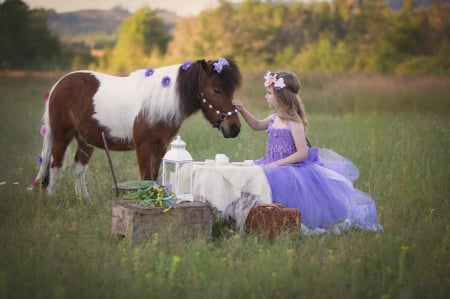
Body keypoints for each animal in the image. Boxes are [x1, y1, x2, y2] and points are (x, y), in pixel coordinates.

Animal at [32, 57, 243, 200]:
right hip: (62, 135)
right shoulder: (143, 146)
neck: (158, 102)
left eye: (232, 90)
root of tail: (59, 84)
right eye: (216, 90)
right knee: (56, 166)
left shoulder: (160, 146)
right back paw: (51, 199)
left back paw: (85, 201)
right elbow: (145, 177)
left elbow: (153, 177)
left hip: (85, 140)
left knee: (78, 168)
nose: (234, 128)